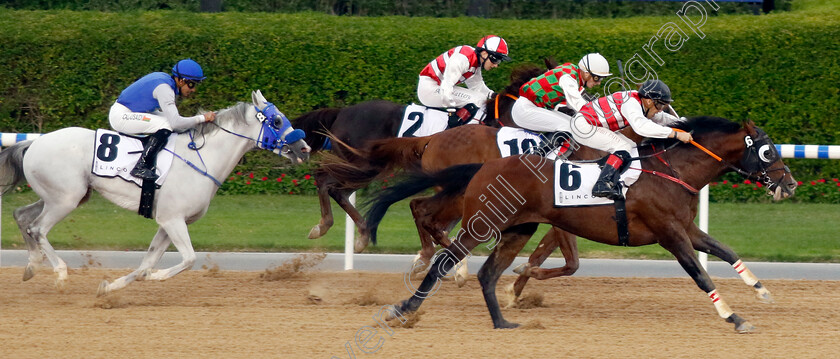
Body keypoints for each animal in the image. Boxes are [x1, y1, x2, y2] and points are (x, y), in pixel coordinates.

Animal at [0, 90, 310, 298]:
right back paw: (61, 273)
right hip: (65, 199)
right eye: (277, 121)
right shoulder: (173, 220)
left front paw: (109, 287)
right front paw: (157, 276)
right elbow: (188, 259)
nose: (305, 148)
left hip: (65, 196)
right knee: (38, 228)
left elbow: (146, 263)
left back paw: (32, 266)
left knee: (22, 216)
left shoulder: (169, 222)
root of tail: (33, 143)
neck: (202, 157)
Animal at [292, 60, 556, 250]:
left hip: (366, 166)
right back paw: (326, 226)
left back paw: (361, 234)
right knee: (326, 181)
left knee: (338, 190)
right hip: (362, 163)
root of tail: (343, 111)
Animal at [366, 117, 796, 332]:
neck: (673, 171)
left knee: (488, 273)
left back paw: (504, 322)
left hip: (517, 229)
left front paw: (762, 291)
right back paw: (404, 308)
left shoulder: (687, 229)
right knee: (444, 257)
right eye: (767, 151)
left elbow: (726, 251)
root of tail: (485, 166)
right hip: (483, 222)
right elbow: (700, 276)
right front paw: (734, 317)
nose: (790, 183)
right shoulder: (670, 234)